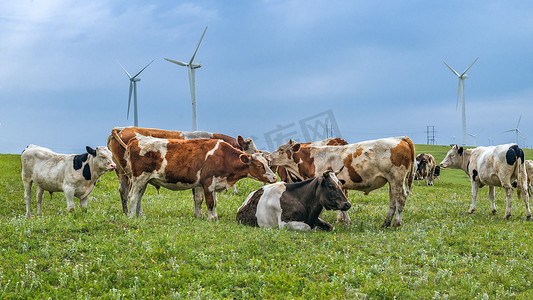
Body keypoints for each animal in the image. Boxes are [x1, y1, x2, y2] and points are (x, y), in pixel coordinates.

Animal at [123, 135, 276, 219]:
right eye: (259, 166)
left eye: (267, 163)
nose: (274, 178)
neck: (222, 156)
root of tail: (136, 139)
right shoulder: (207, 183)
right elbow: (210, 202)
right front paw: (211, 219)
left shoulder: (213, 183)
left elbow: (212, 201)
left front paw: (213, 216)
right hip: (139, 178)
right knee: (133, 197)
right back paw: (131, 216)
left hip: (144, 181)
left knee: (139, 197)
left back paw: (139, 215)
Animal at [266, 137, 416, 227]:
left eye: (281, 149)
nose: (267, 157)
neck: (313, 158)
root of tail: (399, 138)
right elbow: (343, 204)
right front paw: (346, 221)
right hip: (392, 181)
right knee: (393, 200)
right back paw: (386, 222)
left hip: (396, 178)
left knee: (400, 198)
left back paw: (396, 223)